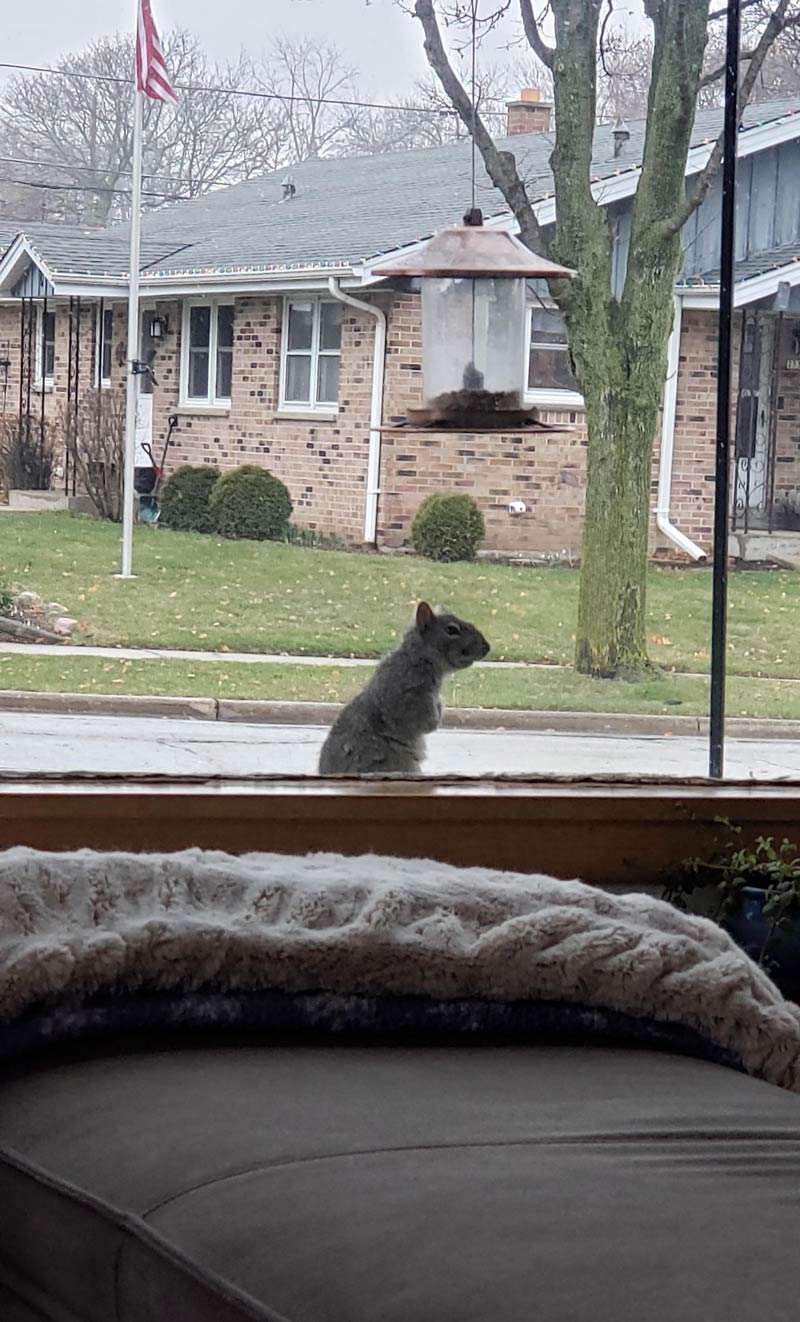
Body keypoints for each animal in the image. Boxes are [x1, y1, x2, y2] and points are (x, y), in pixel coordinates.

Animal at [316, 605, 486, 777]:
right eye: (451, 629)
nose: (487, 647)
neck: (415, 659)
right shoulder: (409, 695)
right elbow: (424, 723)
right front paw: (436, 714)